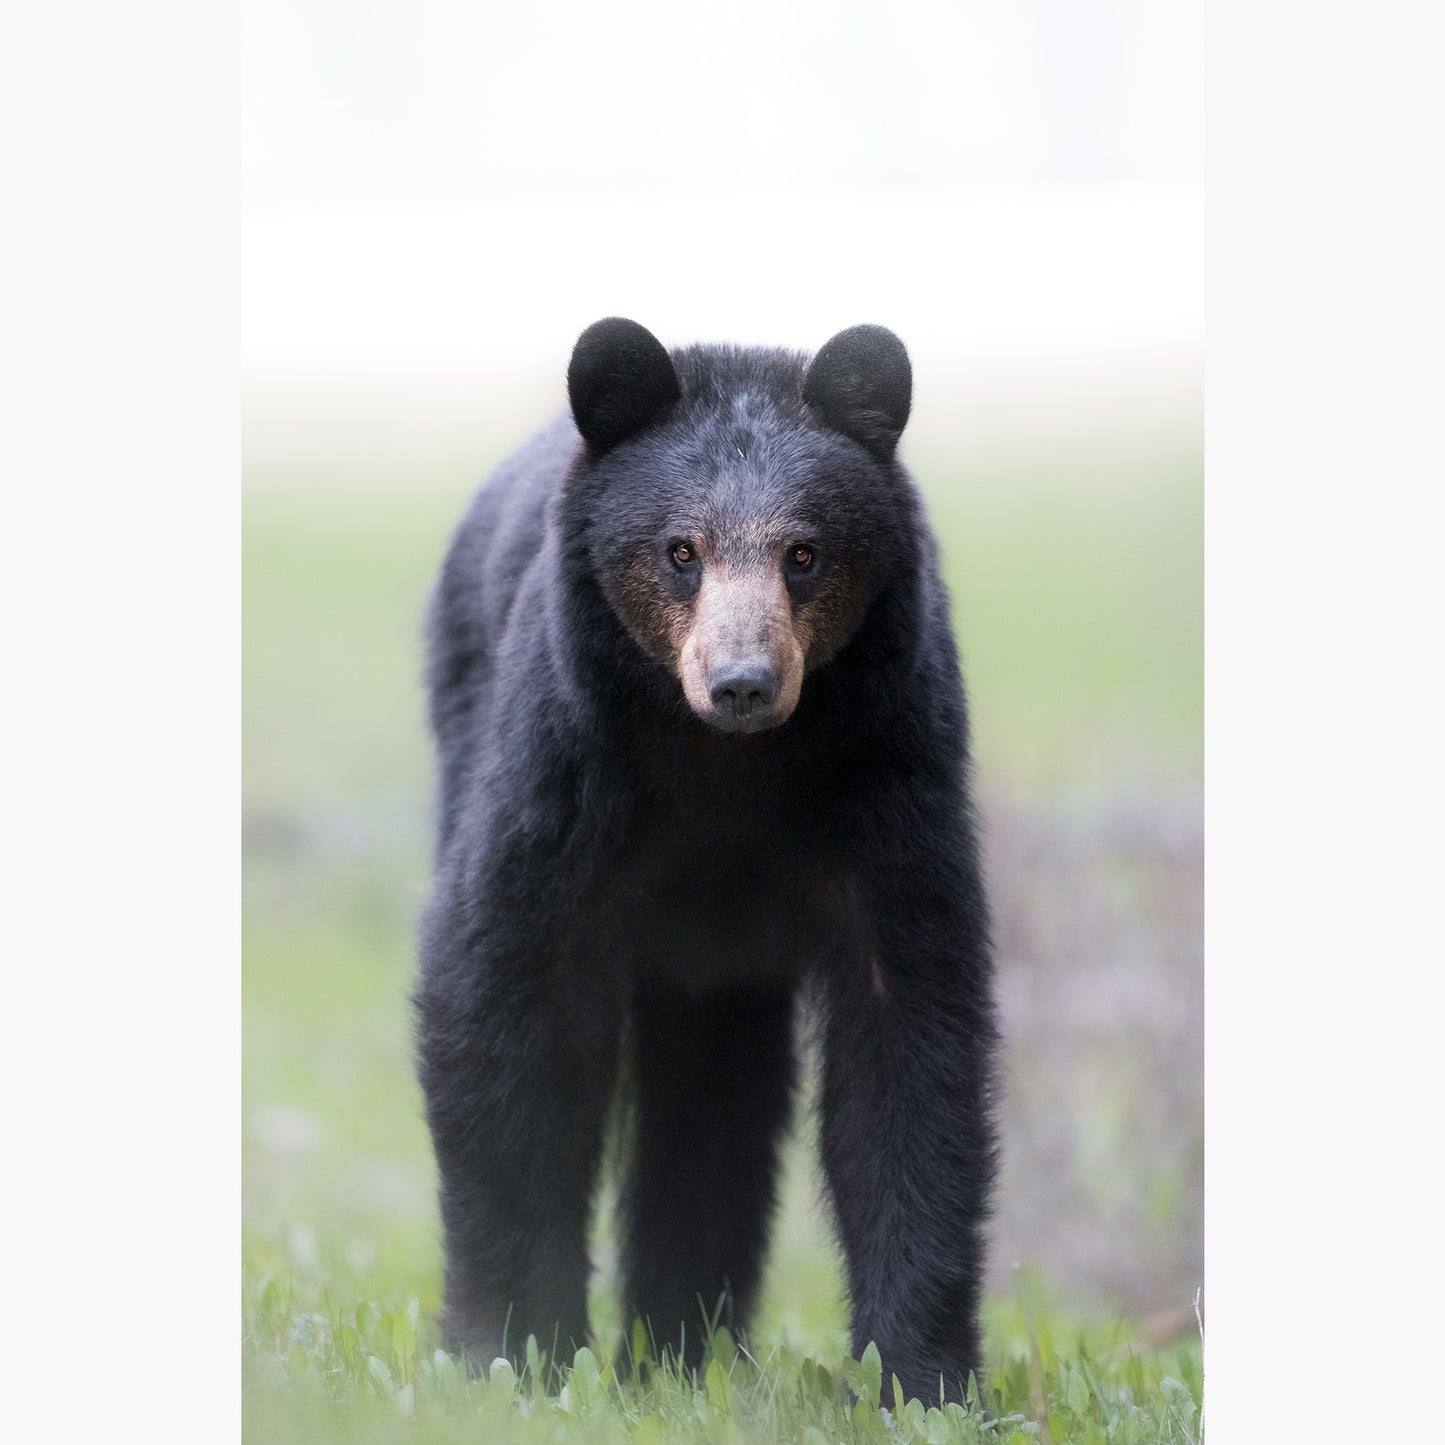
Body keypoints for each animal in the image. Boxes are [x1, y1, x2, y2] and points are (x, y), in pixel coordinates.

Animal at [414, 317, 998, 1408]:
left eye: (803, 552)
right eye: (679, 550)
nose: (741, 681)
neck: (724, 770)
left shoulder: (892, 773)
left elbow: (912, 1037)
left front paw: (920, 1378)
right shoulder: (561, 768)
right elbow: (504, 994)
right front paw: (510, 1348)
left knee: (716, 1101)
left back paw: (679, 1347)